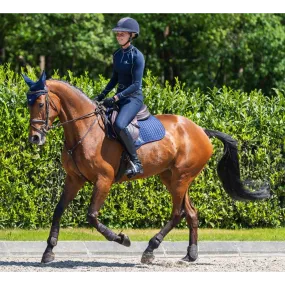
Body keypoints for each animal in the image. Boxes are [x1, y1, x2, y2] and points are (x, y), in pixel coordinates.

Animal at [22, 71, 268, 264]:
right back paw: (190, 255)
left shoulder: (103, 180)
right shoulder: (74, 179)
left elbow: (92, 216)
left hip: (181, 178)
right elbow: (58, 210)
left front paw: (122, 239)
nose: (35, 138)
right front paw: (48, 251)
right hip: (172, 178)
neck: (84, 130)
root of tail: (201, 130)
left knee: (177, 213)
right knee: (191, 212)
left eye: (41, 104)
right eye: (28, 104)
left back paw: (150, 249)